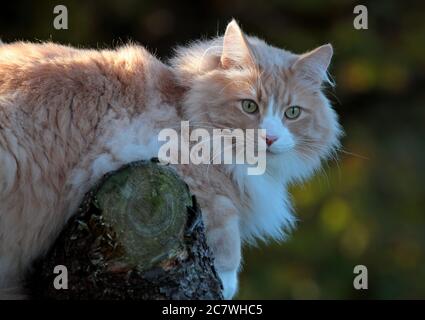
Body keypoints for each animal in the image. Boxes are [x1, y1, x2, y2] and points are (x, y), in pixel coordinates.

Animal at [0, 20, 342, 300]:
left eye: (292, 113)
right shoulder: (148, 157)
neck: (184, 107)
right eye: (249, 106)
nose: (269, 138)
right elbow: (225, 224)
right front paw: (227, 281)